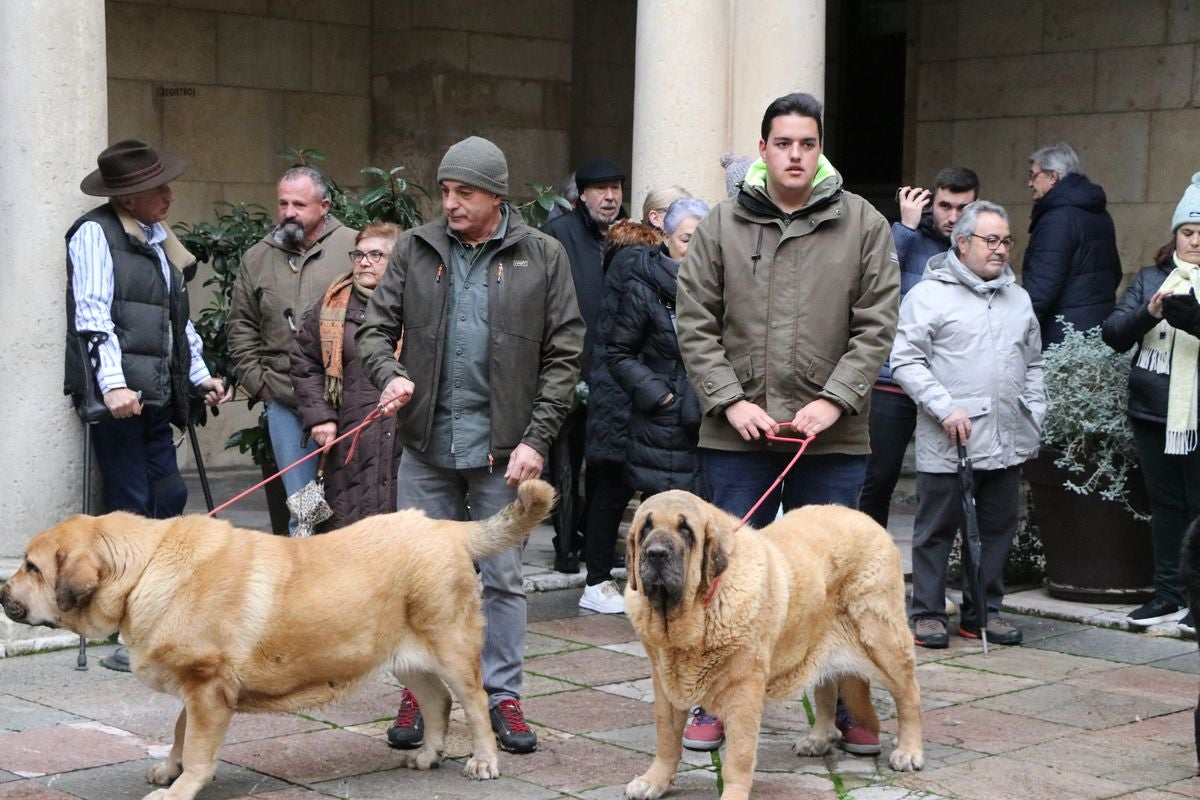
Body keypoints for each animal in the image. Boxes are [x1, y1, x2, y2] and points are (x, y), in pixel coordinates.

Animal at [0, 479, 552, 796]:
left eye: (32, 567)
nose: (1, 589)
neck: (143, 569)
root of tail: (448, 529)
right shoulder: (196, 687)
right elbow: (180, 730)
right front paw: (171, 768)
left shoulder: (207, 687)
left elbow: (197, 745)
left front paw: (183, 786)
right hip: (406, 658)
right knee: (436, 702)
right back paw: (426, 755)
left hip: (451, 649)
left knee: (474, 703)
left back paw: (484, 761)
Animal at [624, 491, 921, 796]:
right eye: (646, 528)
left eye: (685, 529)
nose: (656, 553)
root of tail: (872, 522)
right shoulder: (665, 685)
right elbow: (666, 739)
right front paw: (654, 781)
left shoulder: (744, 691)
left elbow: (738, 757)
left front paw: (733, 793)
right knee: (826, 689)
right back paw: (818, 739)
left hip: (882, 643)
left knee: (909, 696)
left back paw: (909, 752)